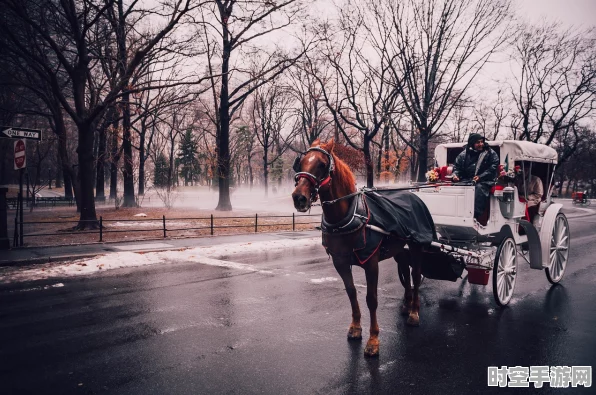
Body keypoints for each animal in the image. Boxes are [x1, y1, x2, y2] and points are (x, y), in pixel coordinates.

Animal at [292, 140, 424, 358]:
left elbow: (372, 299)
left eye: (322, 164)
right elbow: (351, 292)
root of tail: (411, 195)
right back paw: (406, 304)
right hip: (400, 250)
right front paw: (355, 327)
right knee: (405, 271)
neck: (348, 217)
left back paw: (414, 312)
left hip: (416, 246)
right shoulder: (341, 261)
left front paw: (373, 340)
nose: (298, 197)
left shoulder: (371, 262)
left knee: (415, 276)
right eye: (300, 162)